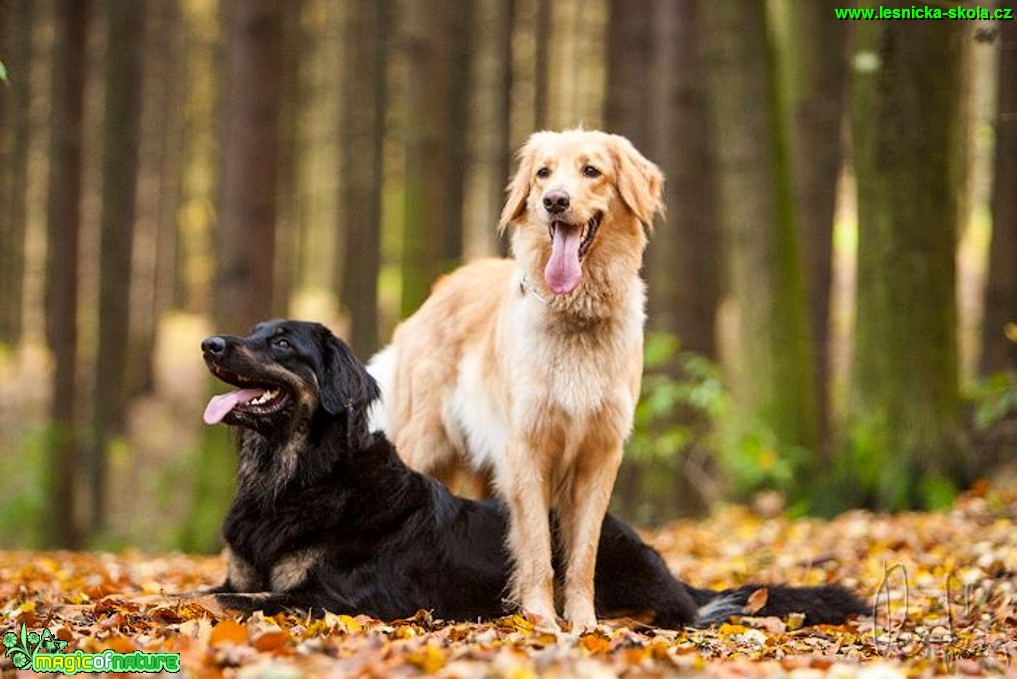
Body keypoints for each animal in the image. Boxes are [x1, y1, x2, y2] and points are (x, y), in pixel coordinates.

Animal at [200, 321, 866, 630]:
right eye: (254, 331)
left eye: (281, 343)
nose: (211, 344)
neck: (292, 479)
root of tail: (667, 569)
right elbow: (219, 589)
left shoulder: (341, 597)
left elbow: (230, 599)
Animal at [370, 130, 663, 630]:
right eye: (543, 172)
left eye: (591, 171)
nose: (554, 201)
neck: (576, 314)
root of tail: (438, 291)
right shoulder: (527, 449)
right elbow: (537, 547)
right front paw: (540, 619)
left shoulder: (599, 456)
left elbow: (583, 554)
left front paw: (583, 623)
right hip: (425, 443)